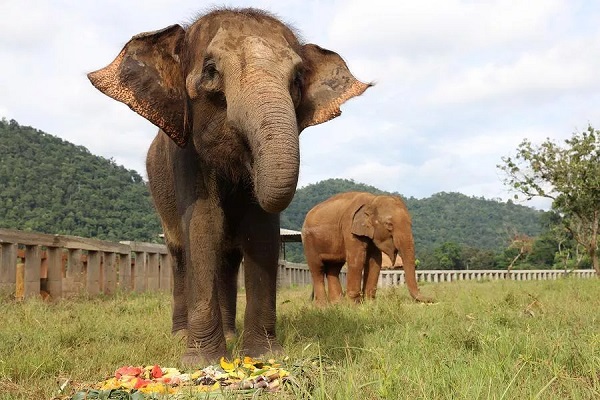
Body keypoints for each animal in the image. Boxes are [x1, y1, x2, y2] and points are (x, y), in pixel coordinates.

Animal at [88, 8, 370, 366]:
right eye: (210, 71)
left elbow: (260, 230)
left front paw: (263, 356)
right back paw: (181, 335)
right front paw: (201, 361)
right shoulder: (186, 152)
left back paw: (231, 335)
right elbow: (203, 223)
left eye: (297, 80)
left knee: (228, 256)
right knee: (180, 253)